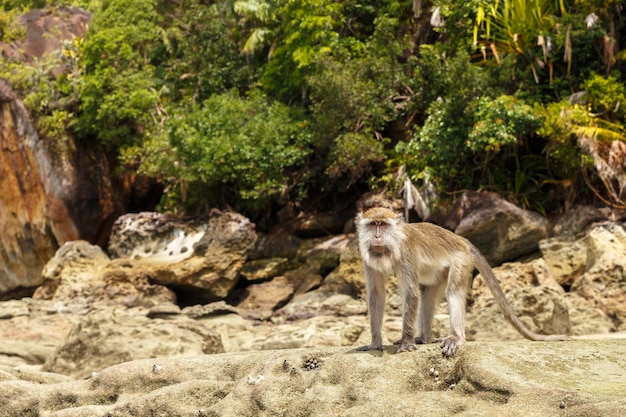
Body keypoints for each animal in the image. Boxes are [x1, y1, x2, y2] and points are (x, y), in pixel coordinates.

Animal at [354, 206, 568, 356]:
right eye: (372, 224)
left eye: (383, 225)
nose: (377, 237)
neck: (393, 246)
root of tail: (461, 239)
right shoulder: (367, 258)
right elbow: (376, 294)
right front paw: (375, 343)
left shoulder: (407, 253)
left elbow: (410, 294)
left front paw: (406, 342)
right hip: (440, 272)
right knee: (427, 295)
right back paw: (425, 338)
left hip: (461, 261)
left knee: (453, 291)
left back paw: (455, 337)